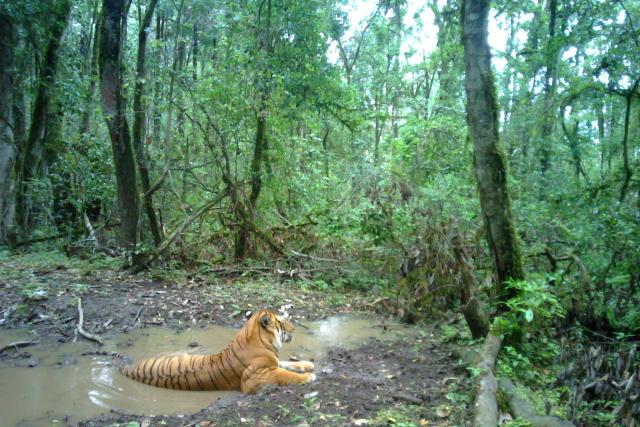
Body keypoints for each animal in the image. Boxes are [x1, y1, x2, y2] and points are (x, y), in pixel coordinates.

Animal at [119, 309, 316, 394]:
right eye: (281, 322)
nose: (294, 328)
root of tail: (129, 368)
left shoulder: (273, 362)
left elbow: (287, 363)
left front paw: (307, 364)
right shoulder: (256, 377)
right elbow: (285, 374)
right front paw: (308, 377)